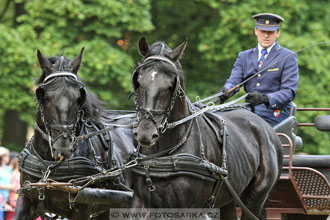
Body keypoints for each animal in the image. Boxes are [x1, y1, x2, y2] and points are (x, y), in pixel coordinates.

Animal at [14, 48, 135, 220]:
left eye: (79, 97)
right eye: (43, 95)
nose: (63, 147)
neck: (50, 166)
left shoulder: (82, 208)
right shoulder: (26, 198)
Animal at [130, 37, 282, 219]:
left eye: (170, 86)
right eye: (138, 82)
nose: (145, 134)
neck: (166, 153)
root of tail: (266, 127)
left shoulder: (188, 209)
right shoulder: (142, 203)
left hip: (254, 199)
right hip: (229, 198)